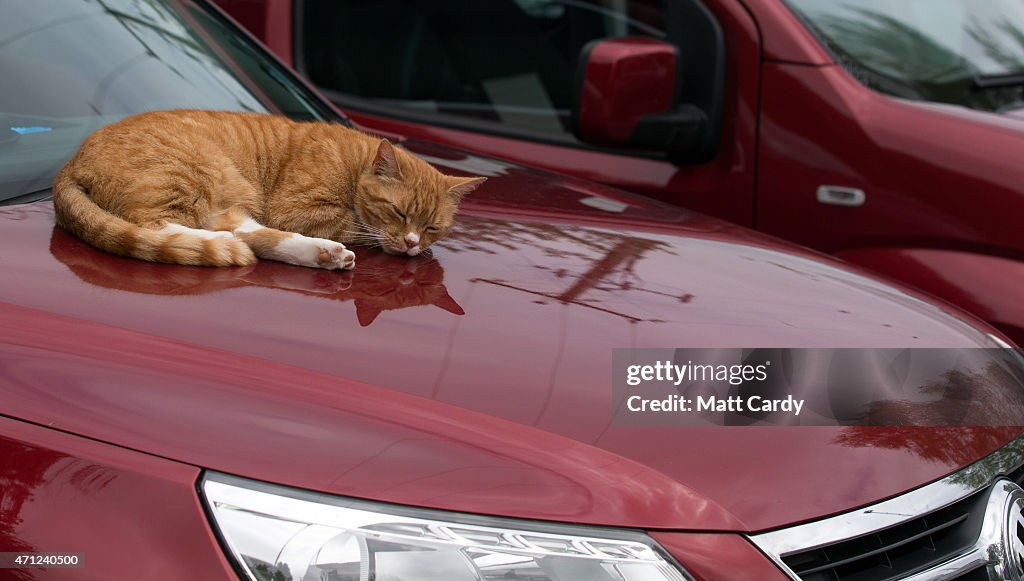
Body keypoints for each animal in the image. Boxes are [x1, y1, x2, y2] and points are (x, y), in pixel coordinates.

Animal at [51, 109, 487, 270]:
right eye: (400, 213)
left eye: (433, 228)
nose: (413, 244)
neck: (352, 162)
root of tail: (68, 165)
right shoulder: (300, 208)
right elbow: (355, 225)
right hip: (193, 174)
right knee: (160, 226)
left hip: (226, 193)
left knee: (241, 232)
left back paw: (320, 254)